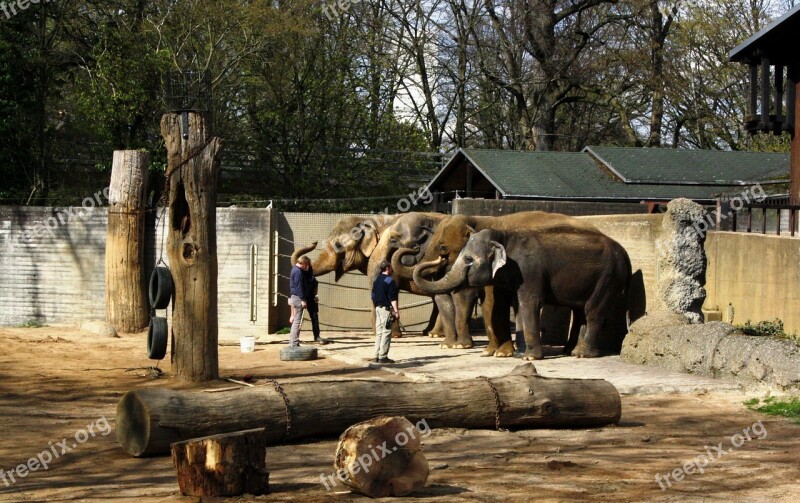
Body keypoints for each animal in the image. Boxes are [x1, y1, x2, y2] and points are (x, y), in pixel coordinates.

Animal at [394, 212, 600, 354]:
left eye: (443, 247)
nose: (414, 248)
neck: (479, 220)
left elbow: (481, 298)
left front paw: (494, 352)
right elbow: (486, 301)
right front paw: (491, 351)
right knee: (579, 309)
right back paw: (569, 349)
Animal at [412, 226, 632, 360]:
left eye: (468, 259)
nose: (441, 257)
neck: (504, 236)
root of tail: (626, 256)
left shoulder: (530, 272)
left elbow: (529, 304)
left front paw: (530, 357)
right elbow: (518, 307)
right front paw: (520, 355)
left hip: (609, 278)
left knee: (593, 311)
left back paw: (581, 354)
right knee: (581, 312)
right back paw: (572, 351)